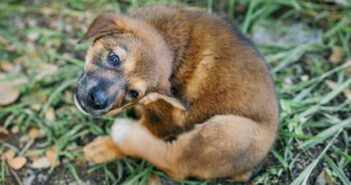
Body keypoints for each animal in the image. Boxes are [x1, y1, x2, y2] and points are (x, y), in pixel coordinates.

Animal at [75, 5, 280, 181]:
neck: (168, 38)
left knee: (173, 162)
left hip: (226, 131)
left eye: (133, 93)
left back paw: (124, 135)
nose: (97, 101)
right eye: (113, 58)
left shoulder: (164, 121)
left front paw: (107, 147)